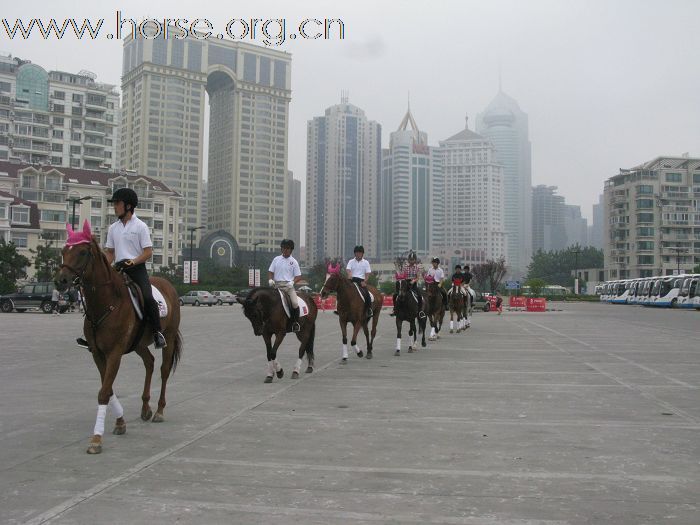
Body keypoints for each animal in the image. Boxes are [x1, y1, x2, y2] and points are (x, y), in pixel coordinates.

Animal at [54, 219, 183, 452]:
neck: (106, 302)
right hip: (139, 344)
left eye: (83, 252)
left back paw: (159, 411)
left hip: (167, 337)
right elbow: (108, 388)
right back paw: (145, 407)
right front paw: (120, 422)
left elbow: (104, 391)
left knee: (164, 370)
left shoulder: (114, 352)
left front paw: (97, 439)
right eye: (64, 251)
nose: (61, 281)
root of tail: (168, 284)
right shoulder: (97, 353)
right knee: (149, 363)